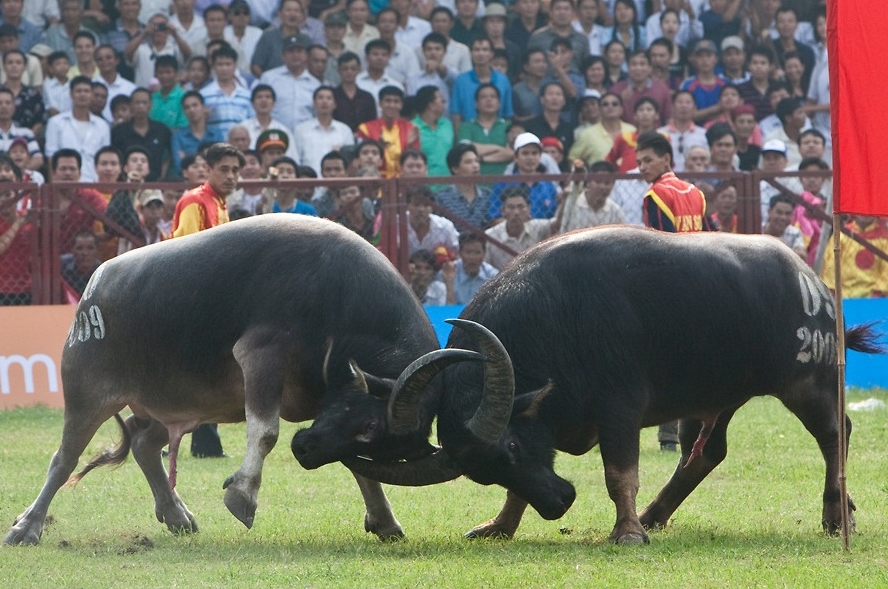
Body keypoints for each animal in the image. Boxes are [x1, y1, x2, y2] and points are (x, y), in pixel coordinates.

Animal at [5, 214, 478, 544]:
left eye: (378, 438)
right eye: (368, 425)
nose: (304, 451)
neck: (341, 307)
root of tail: (93, 288)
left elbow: (360, 469)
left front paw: (384, 520)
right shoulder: (262, 355)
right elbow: (265, 432)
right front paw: (242, 496)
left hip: (174, 404)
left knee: (143, 444)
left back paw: (176, 515)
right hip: (88, 394)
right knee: (63, 459)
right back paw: (27, 527)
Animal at [346, 227, 880, 544]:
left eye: (511, 446)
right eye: (487, 470)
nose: (558, 505)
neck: (554, 321)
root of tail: (814, 282)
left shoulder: (619, 410)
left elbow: (619, 474)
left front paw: (626, 532)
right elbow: (521, 490)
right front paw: (500, 525)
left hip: (807, 382)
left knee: (836, 435)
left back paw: (837, 516)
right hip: (715, 398)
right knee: (705, 453)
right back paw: (655, 516)